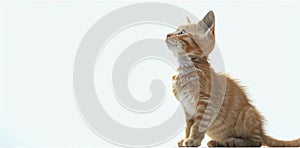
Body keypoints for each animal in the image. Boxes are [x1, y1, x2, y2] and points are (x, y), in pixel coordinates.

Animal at [166, 10, 300, 147]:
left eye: (182, 32)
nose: (167, 35)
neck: (186, 68)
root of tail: (261, 131)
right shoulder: (186, 107)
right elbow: (188, 126)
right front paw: (186, 138)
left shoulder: (205, 102)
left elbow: (197, 125)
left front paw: (193, 140)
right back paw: (218, 142)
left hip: (247, 114)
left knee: (257, 141)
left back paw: (234, 141)